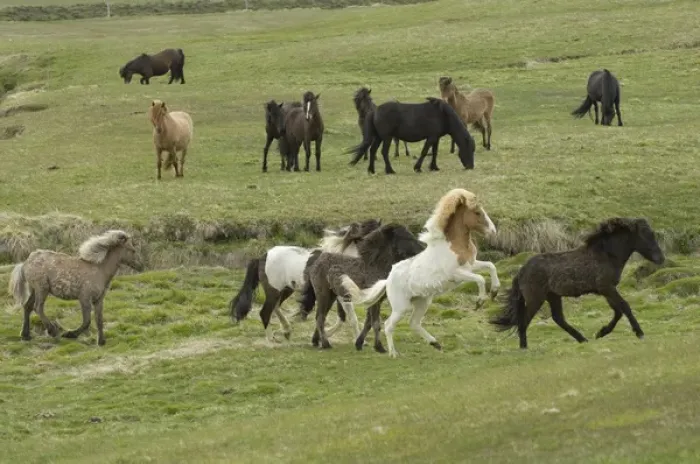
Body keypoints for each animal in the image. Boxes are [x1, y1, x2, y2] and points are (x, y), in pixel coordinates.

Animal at [8, 230, 144, 346]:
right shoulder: (84, 298)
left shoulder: (98, 300)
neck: (100, 271)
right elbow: (87, 321)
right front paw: (70, 334)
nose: (141, 266)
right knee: (38, 307)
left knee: (27, 307)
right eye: (132, 250)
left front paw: (101, 341)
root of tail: (25, 263)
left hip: (34, 289)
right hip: (42, 288)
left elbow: (99, 320)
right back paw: (53, 331)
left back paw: (26, 335)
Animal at [229, 219, 382, 342]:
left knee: (276, 307)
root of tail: (263, 256)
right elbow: (351, 318)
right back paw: (272, 339)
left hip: (286, 289)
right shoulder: (341, 295)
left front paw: (325, 335)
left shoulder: (339, 295)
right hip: (274, 290)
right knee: (265, 312)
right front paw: (360, 341)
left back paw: (287, 331)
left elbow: (341, 317)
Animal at [344, 188, 498, 358]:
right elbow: (480, 279)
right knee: (389, 325)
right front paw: (480, 301)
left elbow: (491, 266)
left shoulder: (471, 265)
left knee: (414, 323)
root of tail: (387, 279)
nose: (493, 231)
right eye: (477, 212)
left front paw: (495, 291)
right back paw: (393, 353)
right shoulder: (457, 273)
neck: (454, 246)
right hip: (401, 307)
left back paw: (435, 343)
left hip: (422, 302)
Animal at [346, 97, 476, 175]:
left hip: (379, 137)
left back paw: (371, 170)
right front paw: (417, 168)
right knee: (383, 152)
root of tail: (375, 110)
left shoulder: (436, 138)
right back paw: (390, 170)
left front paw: (434, 167)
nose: (470, 166)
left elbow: (434, 153)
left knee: (373, 151)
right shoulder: (431, 137)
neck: (443, 115)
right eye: (469, 149)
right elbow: (424, 152)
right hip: (387, 138)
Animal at [490, 217, 664, 349]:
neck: (606, 255)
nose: (661, 259)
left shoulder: (606, 290)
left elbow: (618, 311)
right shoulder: (606, 288)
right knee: (524, 321)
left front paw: (601, 332)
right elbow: (625, 307)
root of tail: (521, 272)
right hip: (536, 299)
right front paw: (639, 333)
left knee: (558, 318)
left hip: (553, 296)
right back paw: (524, 348)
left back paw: (582, 339)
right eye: (647, 235)